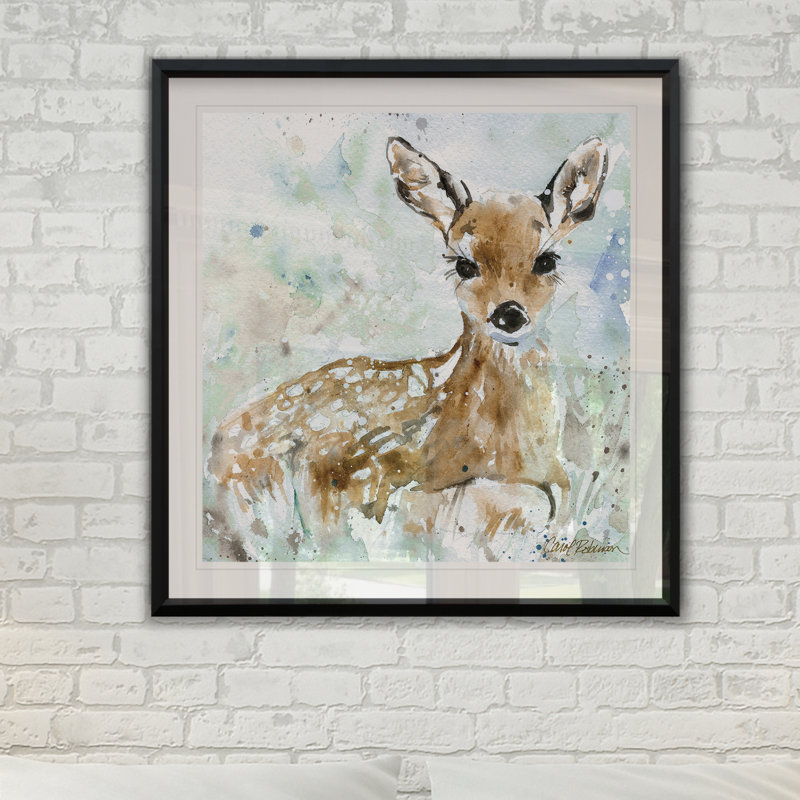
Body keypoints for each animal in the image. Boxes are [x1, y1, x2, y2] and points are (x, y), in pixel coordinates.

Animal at [206, 135, 609, 562]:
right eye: (464, 265)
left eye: (547, 260)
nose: (509, 314)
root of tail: (217, 441)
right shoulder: (378, 482)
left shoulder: (554, 479)